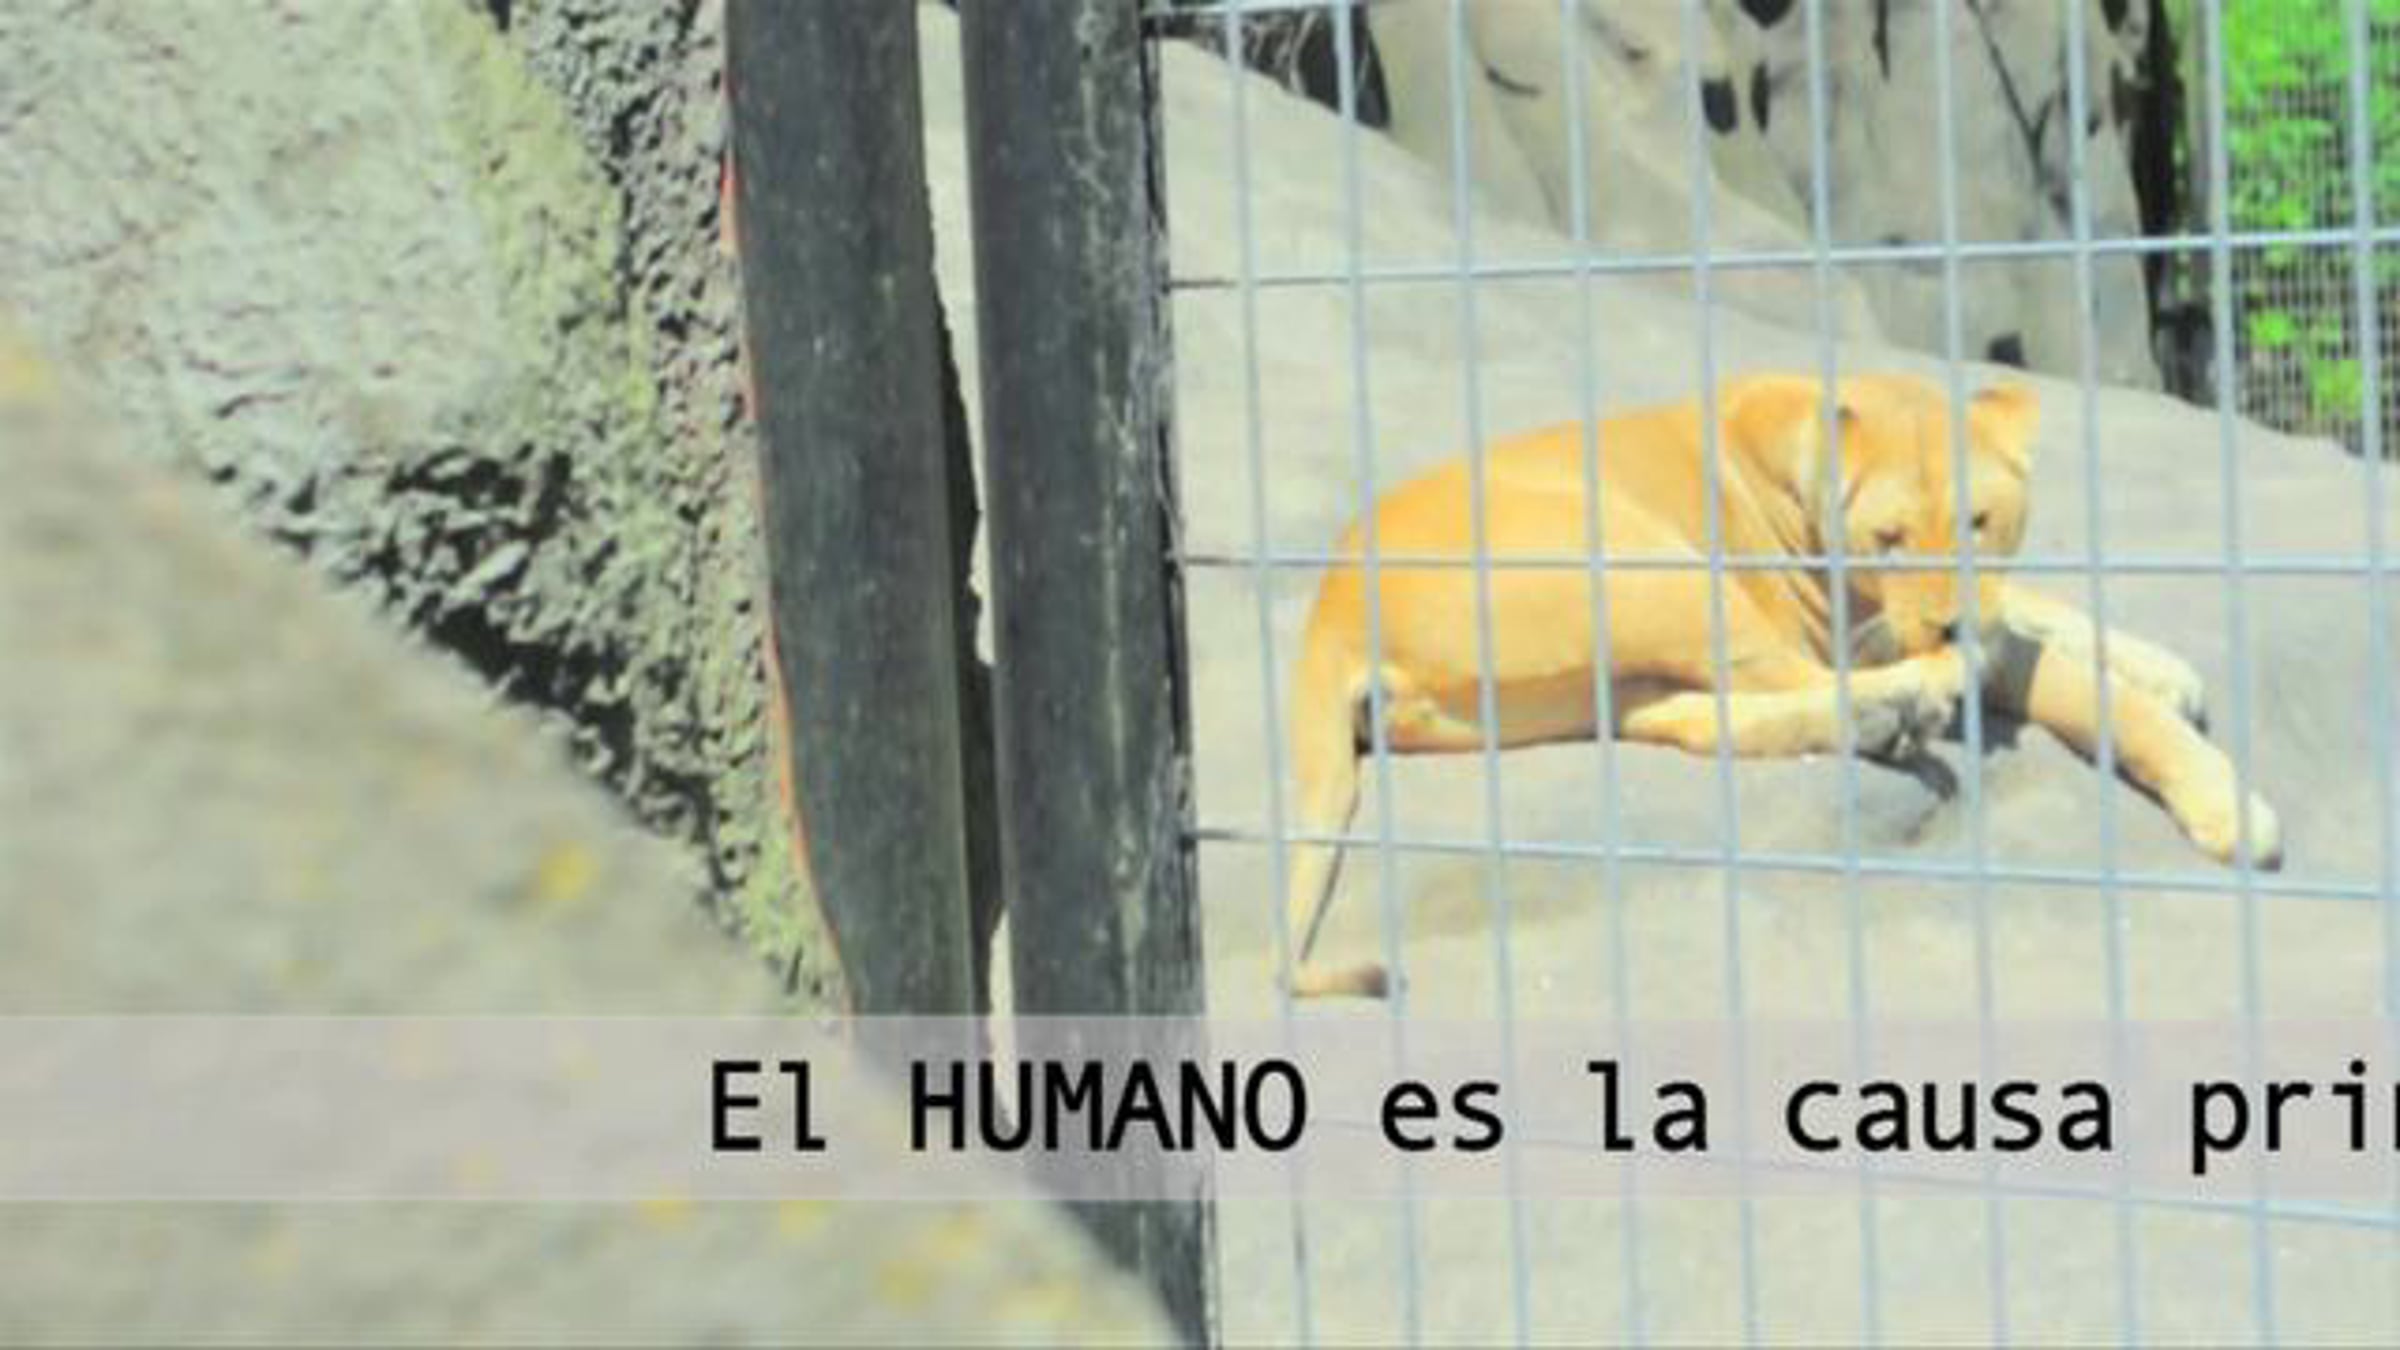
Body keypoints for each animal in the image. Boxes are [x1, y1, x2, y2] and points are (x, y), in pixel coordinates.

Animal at [1282, 372, 2282, 998]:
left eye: (1979, 521)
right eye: (1889, 539)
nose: (1948, 623)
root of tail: (1329, 608)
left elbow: (2038, 614)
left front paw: (2161, 666)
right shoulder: (1867, 625)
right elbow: (2064, 681)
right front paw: (2226, 804)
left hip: (1610, 662)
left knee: (1697, 717)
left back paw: (1887, 715)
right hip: (1647, 560)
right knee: (1812, 680)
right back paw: (1906, 704)